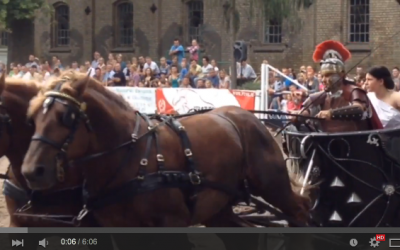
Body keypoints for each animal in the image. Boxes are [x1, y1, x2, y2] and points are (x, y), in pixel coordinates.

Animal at [21, 71, 310, 227]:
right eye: (32, 118)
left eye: (66, 117)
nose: (32, 171)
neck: (131, 158)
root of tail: (248, 116)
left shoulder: (173, 219)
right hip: (220, 206)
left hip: (272, 185)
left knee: (300, 211)